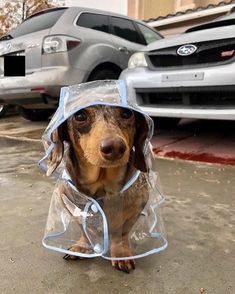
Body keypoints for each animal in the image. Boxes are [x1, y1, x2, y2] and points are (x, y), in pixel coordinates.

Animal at [46, 105, 150, 274]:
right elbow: (85, 229)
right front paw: (82, 246)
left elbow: (121, 234)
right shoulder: (72, 206)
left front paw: (120, 254)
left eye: (127, 113)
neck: (102, 185)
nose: (114, 147)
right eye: (80, 116)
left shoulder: (134, 210)